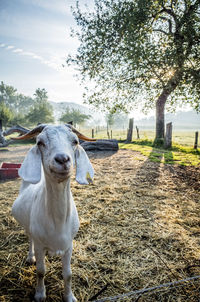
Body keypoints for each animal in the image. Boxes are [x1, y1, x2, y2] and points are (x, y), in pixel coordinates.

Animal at [11, 124, 94, 300]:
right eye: (40, 142)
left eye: (75, 141)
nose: (62, 159)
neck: (58, 221)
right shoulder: (40, 244)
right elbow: (41, 271)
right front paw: (40, 295)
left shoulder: (69, 245)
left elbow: (68, 274)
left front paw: (69, 297)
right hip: (29, 228)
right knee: (30, 239)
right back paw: (30, 258)